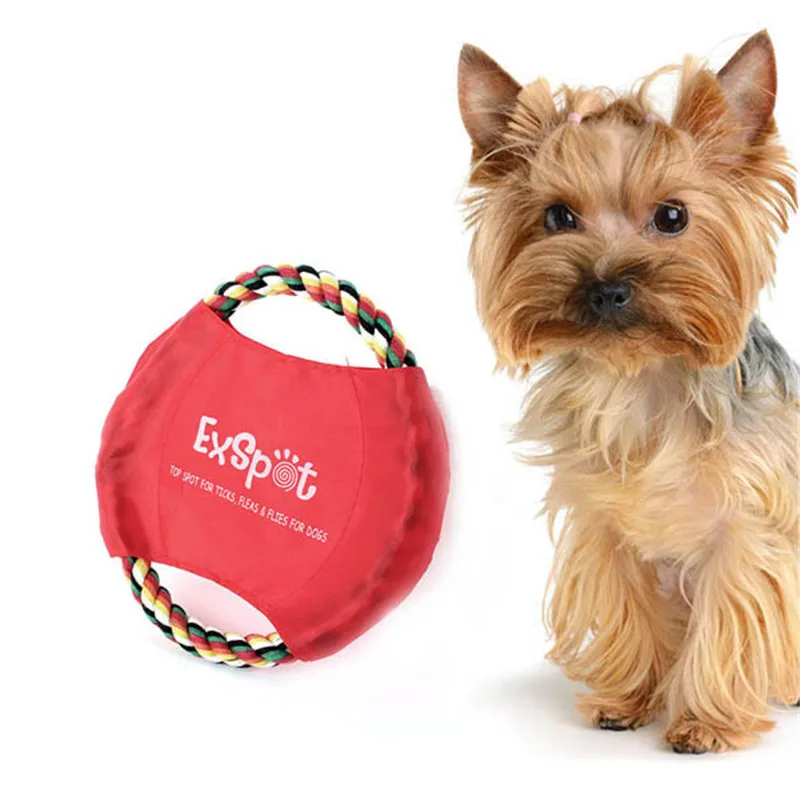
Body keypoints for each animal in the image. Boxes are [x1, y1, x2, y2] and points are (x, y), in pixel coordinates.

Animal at [458, 31, 799, 753]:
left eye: (673, 216)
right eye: (558, 216)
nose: (606, 287)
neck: (642, 377)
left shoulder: (747, 531)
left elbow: (730, 622)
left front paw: (704, 724)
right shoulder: (606, 527)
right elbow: (630, 609)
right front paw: (628, 700)